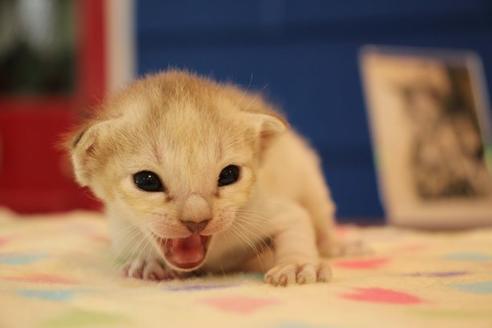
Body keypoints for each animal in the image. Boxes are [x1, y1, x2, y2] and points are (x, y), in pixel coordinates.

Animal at [65, 70, 336, 286]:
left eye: (229, 174)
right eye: (147, 180)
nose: (197, 220)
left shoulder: (264, 210)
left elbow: (297, 227)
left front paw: (297, 264)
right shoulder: (123, 236)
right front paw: (149, 263)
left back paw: (333, 244)